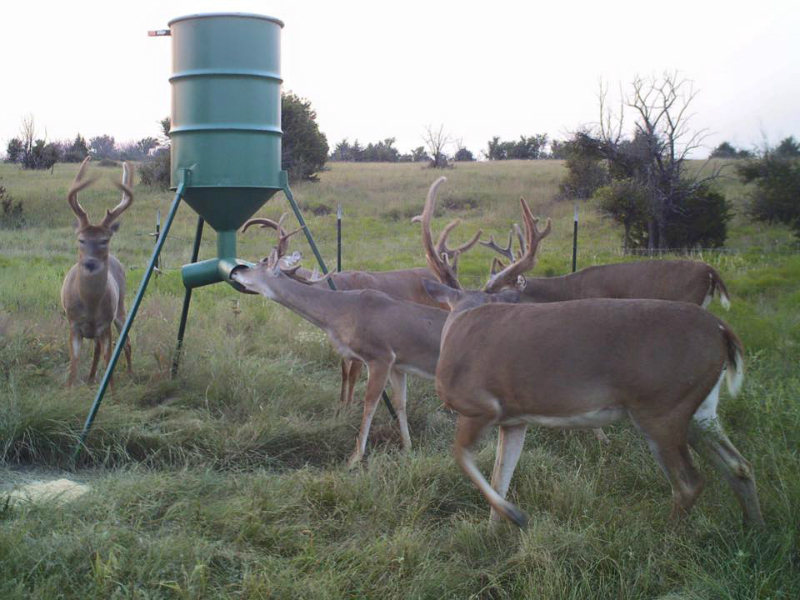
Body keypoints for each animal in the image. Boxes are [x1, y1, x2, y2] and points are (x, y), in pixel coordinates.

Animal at [61, 157, 134, 386]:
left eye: (104, 240)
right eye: (81, 239)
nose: (90, 263)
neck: (90, 305)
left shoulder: (105, 324)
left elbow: (109, 360)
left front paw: (111, 391)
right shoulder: (73, 324)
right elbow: (73, 365)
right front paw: (70, 388)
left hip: (121, 309)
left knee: (127, 343)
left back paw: (131, 374)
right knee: (96, 347)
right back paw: (92, 377)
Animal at [242, 212, 482, 408]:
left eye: (264, 259)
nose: (241, 271)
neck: (337, 288)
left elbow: (353, 376)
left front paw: (348, 407)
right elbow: (343, 373)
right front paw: (340, 405)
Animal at [418, 176, 764, 528]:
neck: (459, 321)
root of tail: (721, 330)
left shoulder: (480, 405)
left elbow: (461, 455)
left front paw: (515, 514)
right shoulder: (514, 419)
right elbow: (501, 475)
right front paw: (497, 529)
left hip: (662, 407)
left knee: (689, 482)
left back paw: (670, 534)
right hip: (700, 409)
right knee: (739, 465)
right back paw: (754, 529)